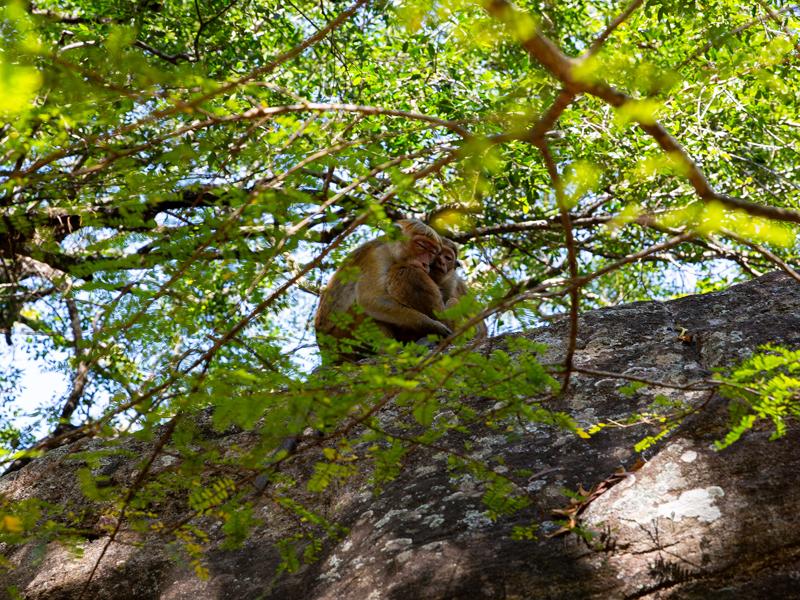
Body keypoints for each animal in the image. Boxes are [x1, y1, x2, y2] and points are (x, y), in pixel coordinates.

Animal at [314, 219, 453, 361]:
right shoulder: (377, 256)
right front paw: (432, 325)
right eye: (422, 245)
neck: (390, 249)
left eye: (432, 252)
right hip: (343, 339)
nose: (425, 264)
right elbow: (370, 299)